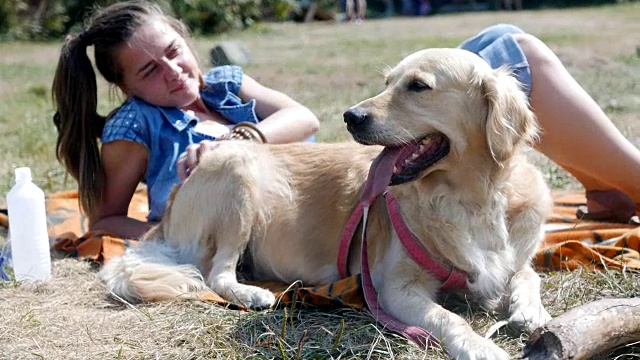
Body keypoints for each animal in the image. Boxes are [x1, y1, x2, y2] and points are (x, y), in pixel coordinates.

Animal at [100, 48, 552, 360]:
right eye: (388, 82)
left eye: (418, 86)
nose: (351, 116)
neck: (470, 198)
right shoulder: (395, 288)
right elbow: (448, 316)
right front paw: (480, 345)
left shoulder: (512, 258)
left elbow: (527, 276)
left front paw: (532, 311)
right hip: (238, 172)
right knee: (216, 274)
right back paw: (252, 293)